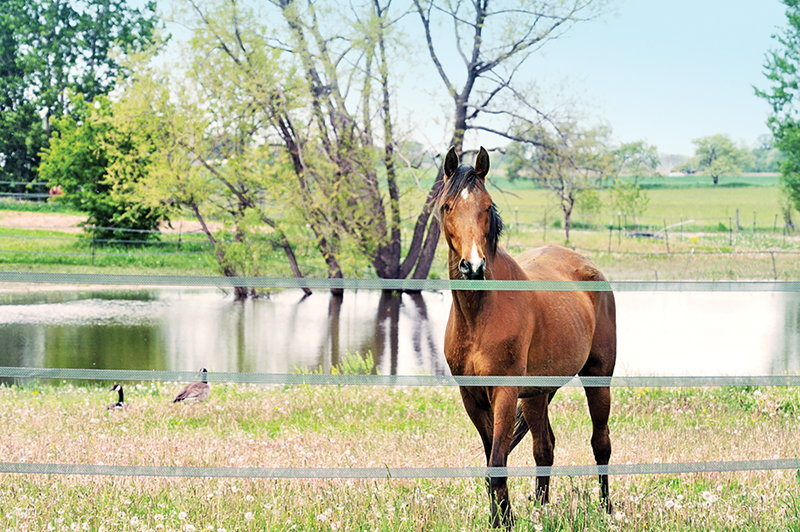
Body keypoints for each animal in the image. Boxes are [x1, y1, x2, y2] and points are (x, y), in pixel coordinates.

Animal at [436, 146, 616, 527]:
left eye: (487, 206)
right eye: (447, 206)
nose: (472, 267)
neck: (479, 315)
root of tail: (590, 268)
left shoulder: (504, 392)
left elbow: (497, 462)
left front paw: (504, 521)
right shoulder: (472, 397)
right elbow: (493, 459)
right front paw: (500, 518)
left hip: (598, 378)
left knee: (601, 443)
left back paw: (607, 508)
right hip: (537, 393)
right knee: (544, 447)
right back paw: (541, 509)